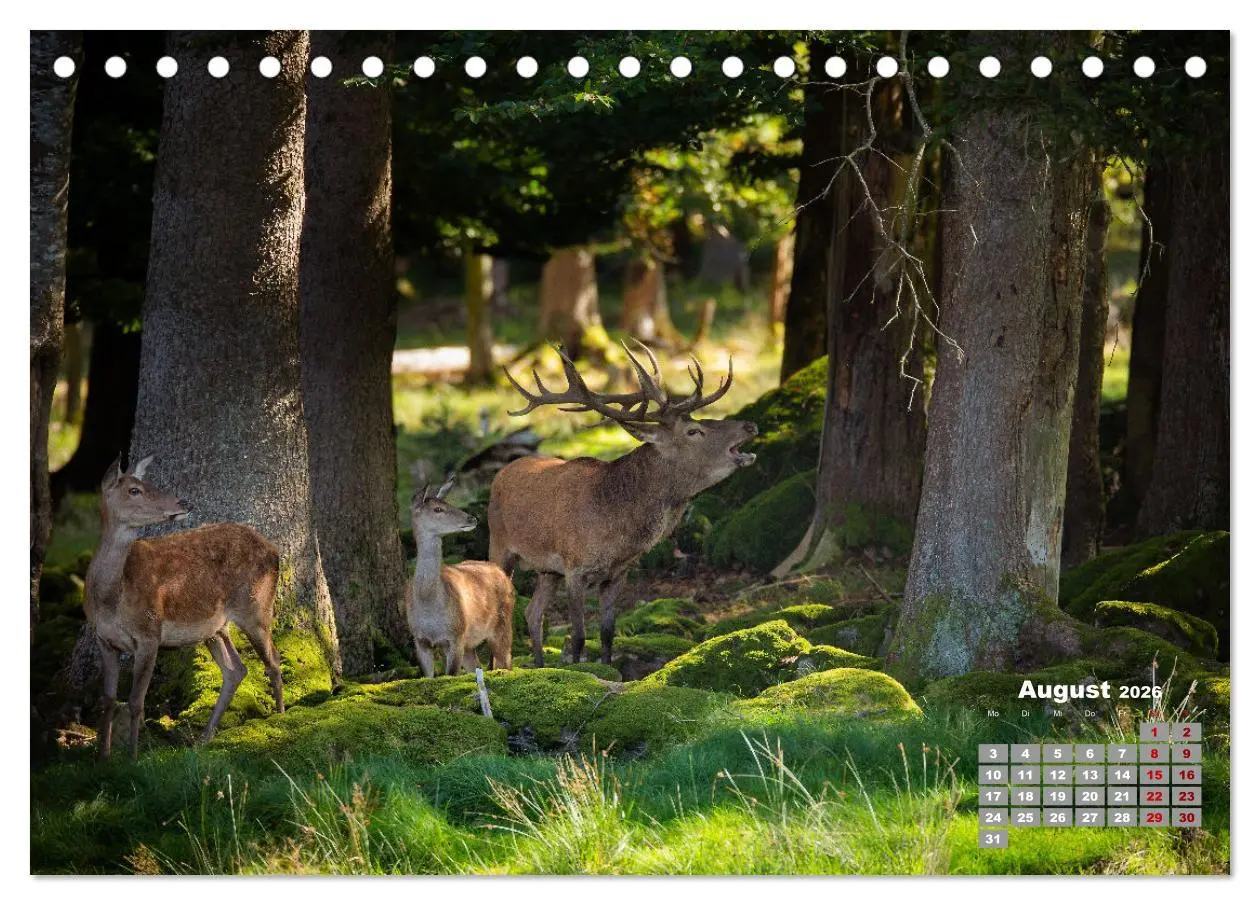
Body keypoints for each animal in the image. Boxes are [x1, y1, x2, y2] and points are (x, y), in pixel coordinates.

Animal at [84, 456, 285, 760]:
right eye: (134, 490)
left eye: (147, 483)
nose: (183, 502)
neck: (111, 598)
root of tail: (274, 550)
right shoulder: (104, 639)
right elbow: (107, 699)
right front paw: (103, 757)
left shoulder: (149, 632)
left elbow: (135, 701)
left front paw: (131, 756)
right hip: (216, 628)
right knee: (236, 670)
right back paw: (204, 737)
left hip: (256, 606)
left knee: (273, 660)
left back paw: (282, 718)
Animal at [407, 473, 515, 677]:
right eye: (438, 509)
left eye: (447, 503)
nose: (472, 518)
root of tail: (502, 573)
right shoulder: (419, 640)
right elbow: (429, 676)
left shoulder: (455, 636)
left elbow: (451, 674)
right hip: (470, 644)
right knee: (477, 666)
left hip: (502, 624)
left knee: (506, 662)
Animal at [490, 341, 758, 666]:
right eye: (694, 431)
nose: (750, 426)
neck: (617, 530)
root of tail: (502, 472)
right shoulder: (574, 567)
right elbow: (579, 637)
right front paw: (580, 671)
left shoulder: (619, 572)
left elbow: (607, 633)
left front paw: (607, 667)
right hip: (499, 545)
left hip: (546, 570)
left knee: (533, 613)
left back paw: (540, 666)